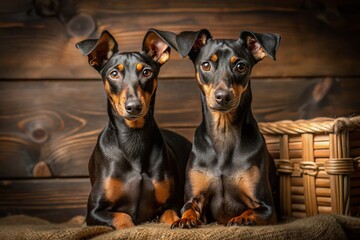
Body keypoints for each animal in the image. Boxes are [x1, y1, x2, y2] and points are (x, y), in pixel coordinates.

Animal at [76, 29, 191, 229]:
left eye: (146, 72)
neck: (133, 137)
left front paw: (179, 222)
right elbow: (123, 218)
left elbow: (171, 215)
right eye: (114, 73)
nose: (134, 106)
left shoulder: (171, 204)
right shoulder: (94, 211)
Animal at [166, 29, 282, 228]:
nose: (223, 96)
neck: (224, 132)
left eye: (241, 66)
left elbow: (250, 210)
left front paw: (241, 218)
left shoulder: (267, 208)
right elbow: (188, 208)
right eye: (205, 65)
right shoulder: (193, 198)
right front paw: (185, 219)